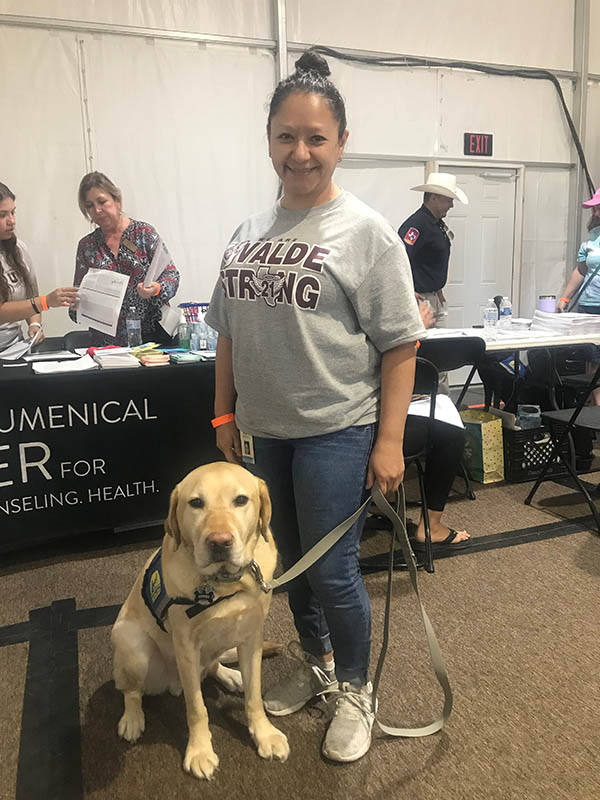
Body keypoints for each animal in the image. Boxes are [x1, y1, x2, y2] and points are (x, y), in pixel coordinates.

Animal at [114, 462, 290, 780]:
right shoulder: (185, 645)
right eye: (196, 503)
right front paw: (199, 751)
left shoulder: (251, 636)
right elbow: (196, 708)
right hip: (131, 644)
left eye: (241, 500)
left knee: (212, 665)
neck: (225, 585)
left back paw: (231, 675)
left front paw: (264, 734)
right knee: (131, 690)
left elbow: (254, 696)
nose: (219, 542)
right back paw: (132, 718)